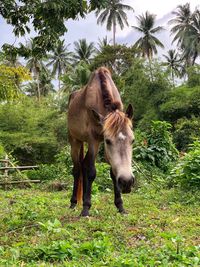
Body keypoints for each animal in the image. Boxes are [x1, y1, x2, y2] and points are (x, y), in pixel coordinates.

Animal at [68, 67, 135, 218]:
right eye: (108, 141)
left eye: (132, 140)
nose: (127, 182)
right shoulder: (94, 140)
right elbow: (91, 171)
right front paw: (86, 208)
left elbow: (113, 173)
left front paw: (120, 206)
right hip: (75, 141)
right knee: (78, 169)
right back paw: (74, 203)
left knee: (83, 165)